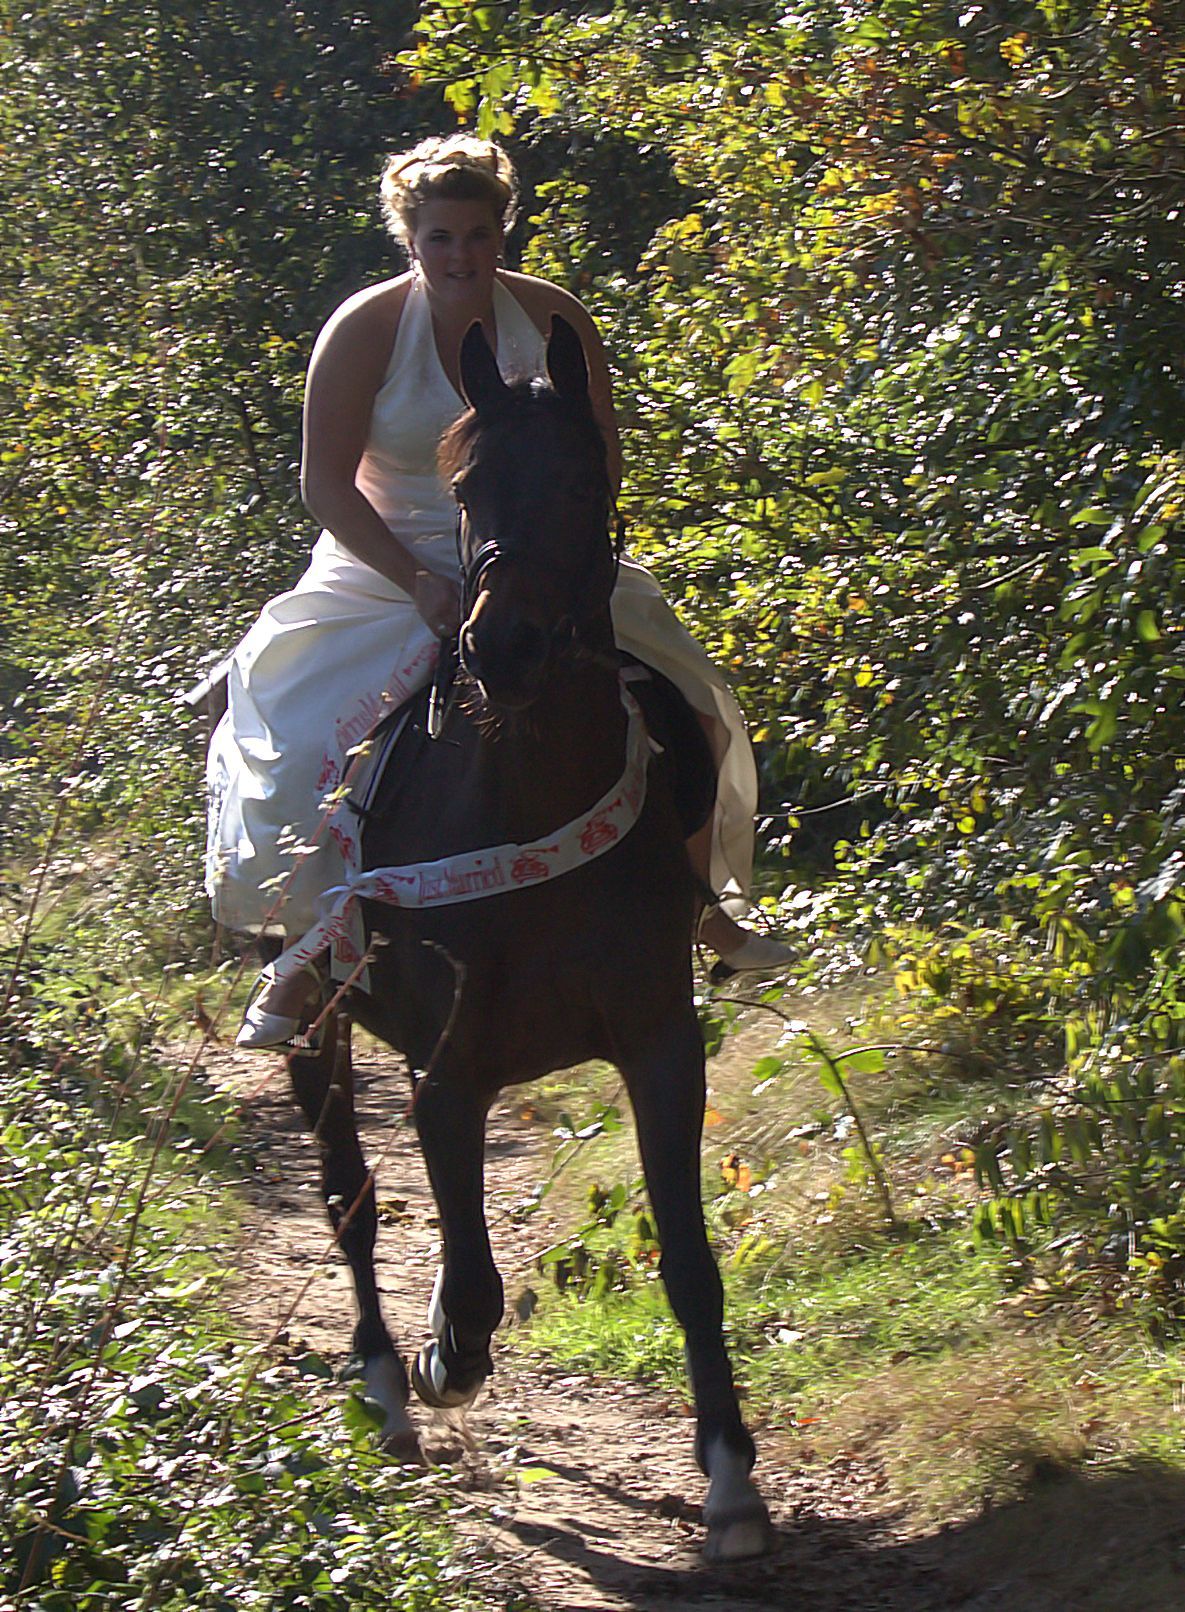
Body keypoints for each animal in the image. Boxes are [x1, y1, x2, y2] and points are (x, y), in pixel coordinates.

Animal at [284, 315, 773, 1563]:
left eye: (588, 480)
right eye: (466, 487)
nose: (499, 646)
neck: (524, 793)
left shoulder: (660, 1046)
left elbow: (688, 1260)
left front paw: (729, 1479)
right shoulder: (443, 1076)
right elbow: (469, 1287)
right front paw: (436, 1361)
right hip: (314, 1030)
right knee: (349, 1197)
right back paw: (383, 1386)